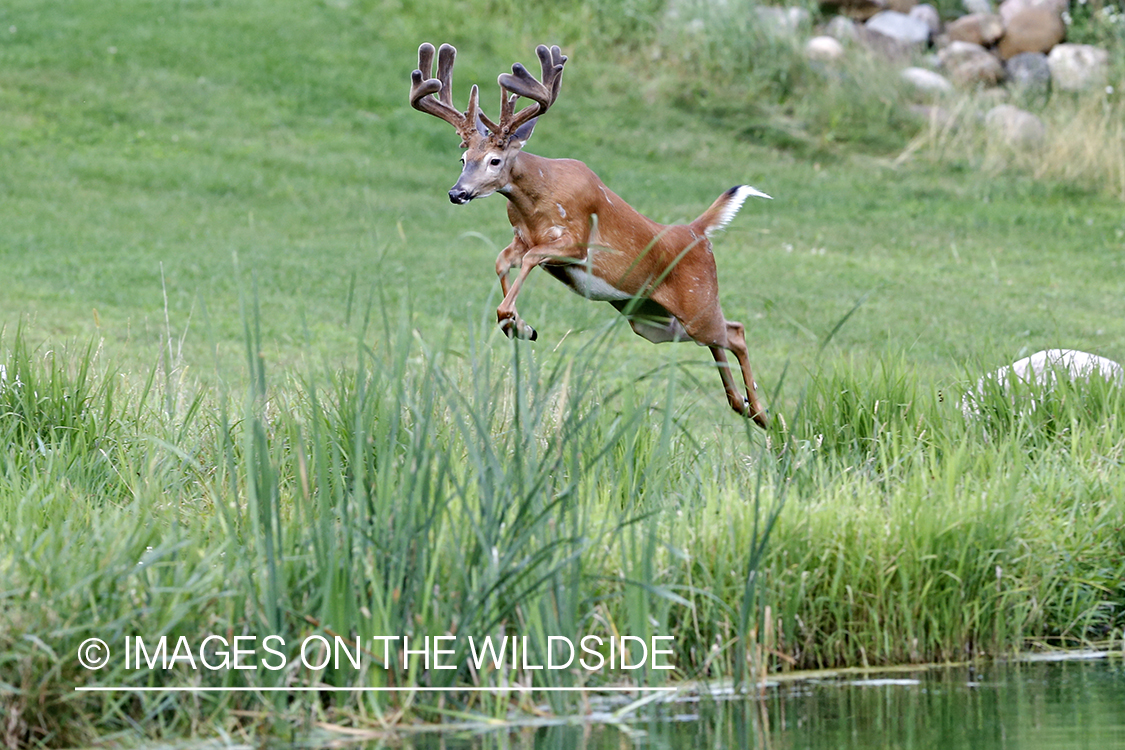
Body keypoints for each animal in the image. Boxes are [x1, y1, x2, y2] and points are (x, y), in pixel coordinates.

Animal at [411, 42, 774, 427]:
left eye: (495, 160)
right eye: (463, 158)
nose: (457, 192)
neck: (537, 198)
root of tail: (697, 231)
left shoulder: (577, 240)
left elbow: (529, 260)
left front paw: (514, 321)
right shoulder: (521, 237)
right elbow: (501, 261)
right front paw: (519, 325)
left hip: (697, 302)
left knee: (735, 332)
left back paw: (761, 412)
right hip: (650, 319)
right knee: (719, 338)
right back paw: (742, 405)